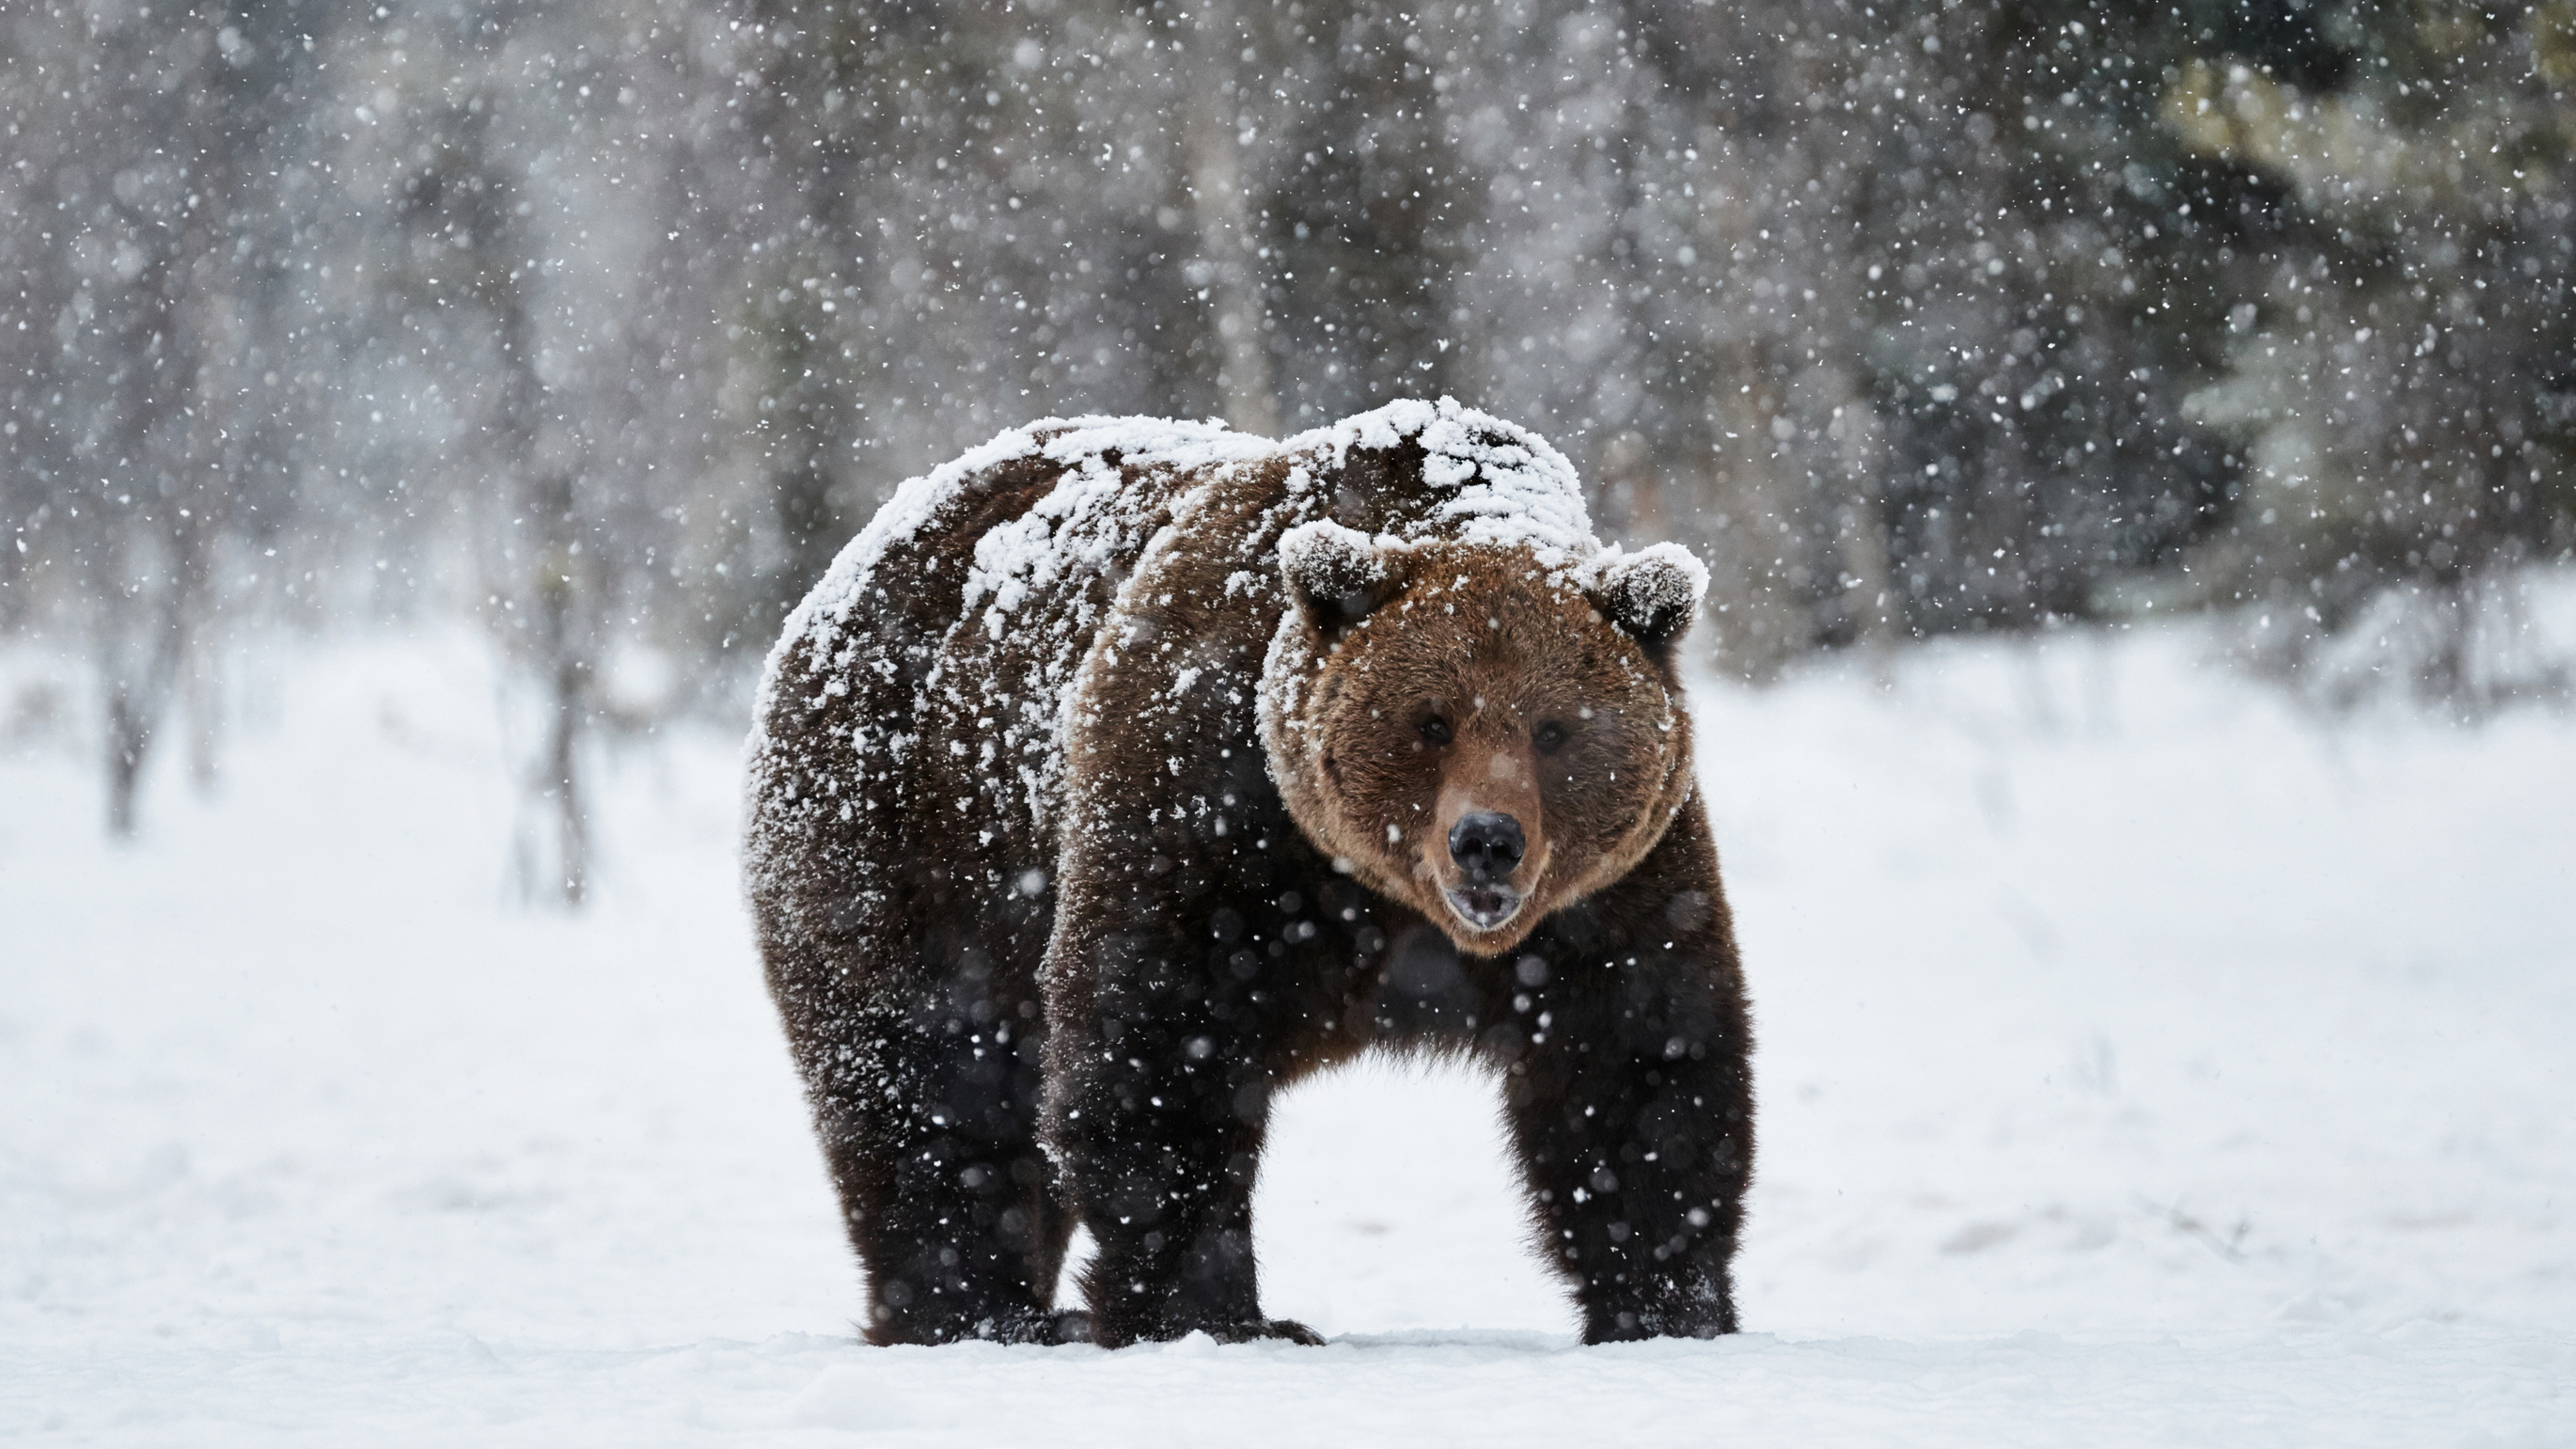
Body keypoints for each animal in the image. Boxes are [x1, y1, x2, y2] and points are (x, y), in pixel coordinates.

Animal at [746, 394, 1751, 1340]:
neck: (1383, 898)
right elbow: (1158, 1050)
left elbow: (1642, 1067)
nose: (1487, 839)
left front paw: (1669, 1308)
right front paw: (1216, 1313)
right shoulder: (1206, 812)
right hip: (910, 838)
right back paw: (979, 1311)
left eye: (1555, 729)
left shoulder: (1612, 892)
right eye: (1431, 720)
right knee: (931, 1084)